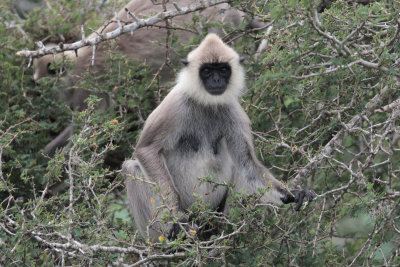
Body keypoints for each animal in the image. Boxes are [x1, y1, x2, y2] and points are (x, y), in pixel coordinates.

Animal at [120, 33, 314, 241]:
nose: (215, 80)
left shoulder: (233, 110)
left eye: (222, 70)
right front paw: (177, 219)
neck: (207, 103)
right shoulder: (176, 104)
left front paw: (292, 194)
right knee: (131, 167)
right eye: (206, 71)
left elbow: (247, 163)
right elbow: (146, 150)